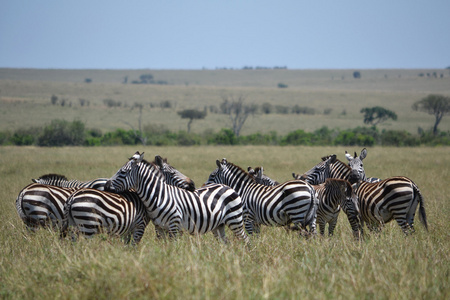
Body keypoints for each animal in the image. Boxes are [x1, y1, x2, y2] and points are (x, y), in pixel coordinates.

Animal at [104, 152, 250, 244]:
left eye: (123, 172)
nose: (106, 185)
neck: (159, 196)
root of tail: (228, 186)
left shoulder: (174, 225)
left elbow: (174, 247)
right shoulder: (160, 228)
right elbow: (163, 247)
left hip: (235, 220)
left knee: (245, 239)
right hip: (219, 225)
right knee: (225, 243)